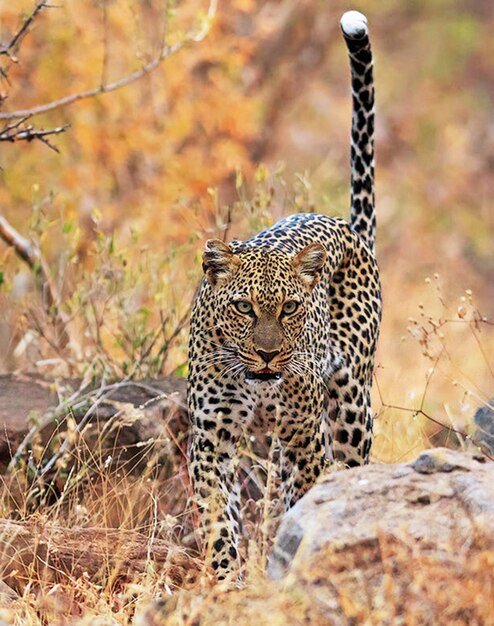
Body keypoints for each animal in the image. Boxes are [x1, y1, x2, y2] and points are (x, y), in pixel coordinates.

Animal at [187, 9, 380, 580]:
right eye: (243, 308)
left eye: (291, 308)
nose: (270, 355)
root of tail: (349, 228)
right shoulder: (211, 443)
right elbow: (219, 521)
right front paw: (225, 581)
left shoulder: (306, 435)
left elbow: (314, 497)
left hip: (349, 406)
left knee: (345, 470)